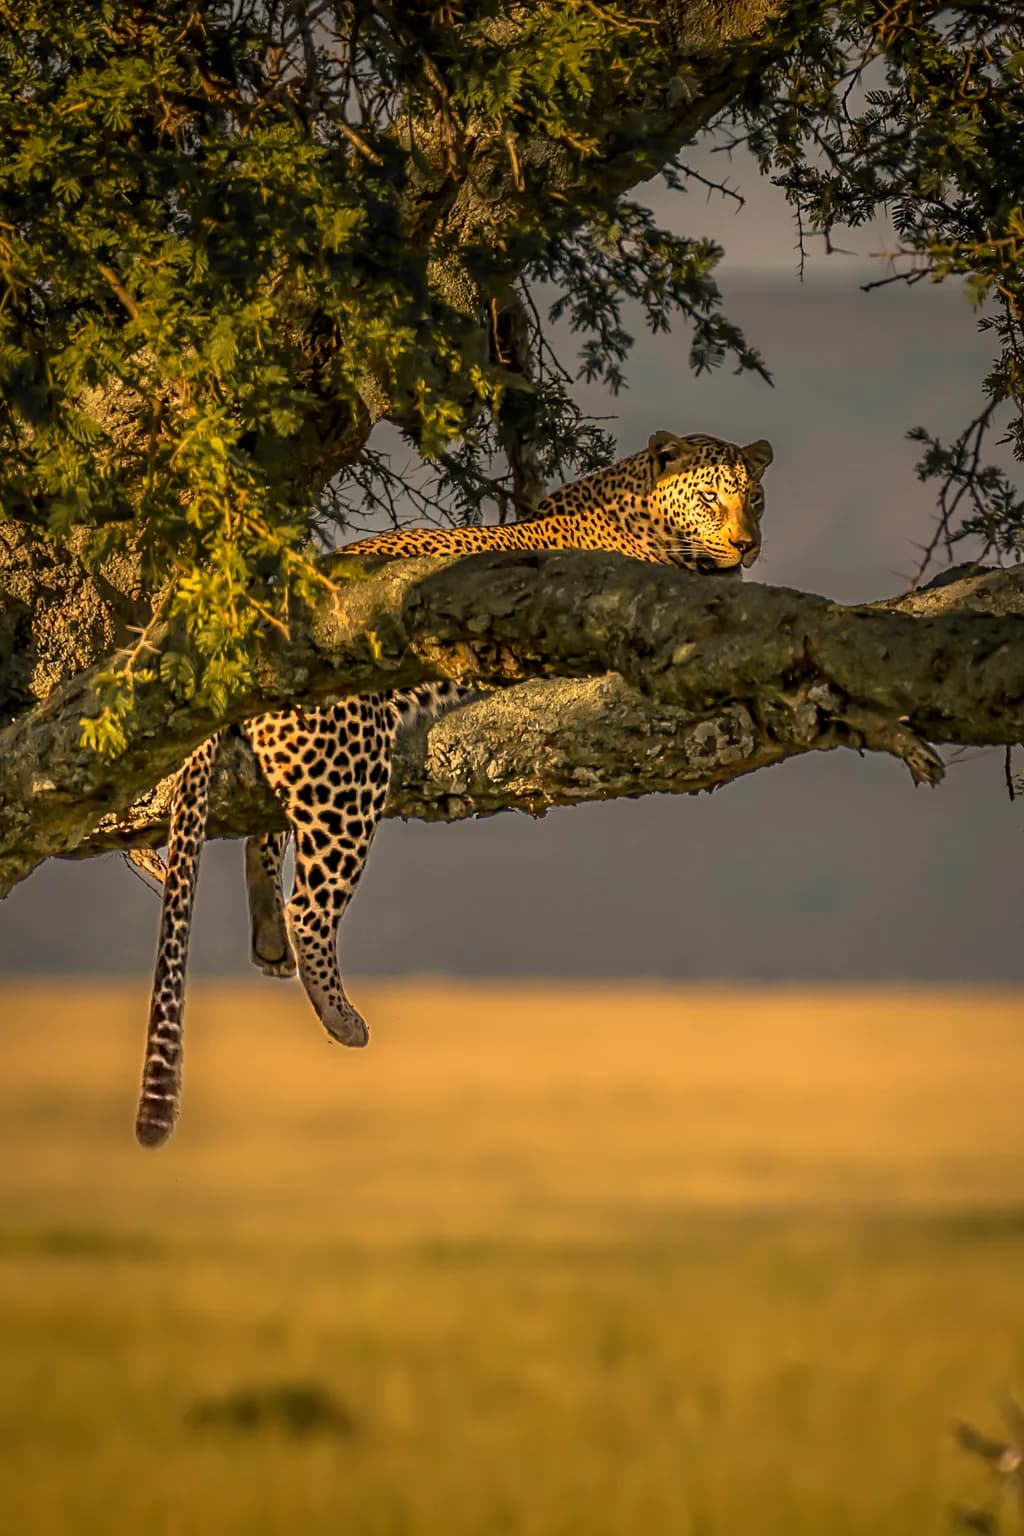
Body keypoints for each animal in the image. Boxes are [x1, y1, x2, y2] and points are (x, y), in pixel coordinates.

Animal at [134, 429, 773, 1147]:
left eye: (754, 498)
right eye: (711, 498)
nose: (747, 544)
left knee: (263, 840)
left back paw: (269, 940)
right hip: (347, 758)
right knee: (311, 900)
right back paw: (341, 1016)